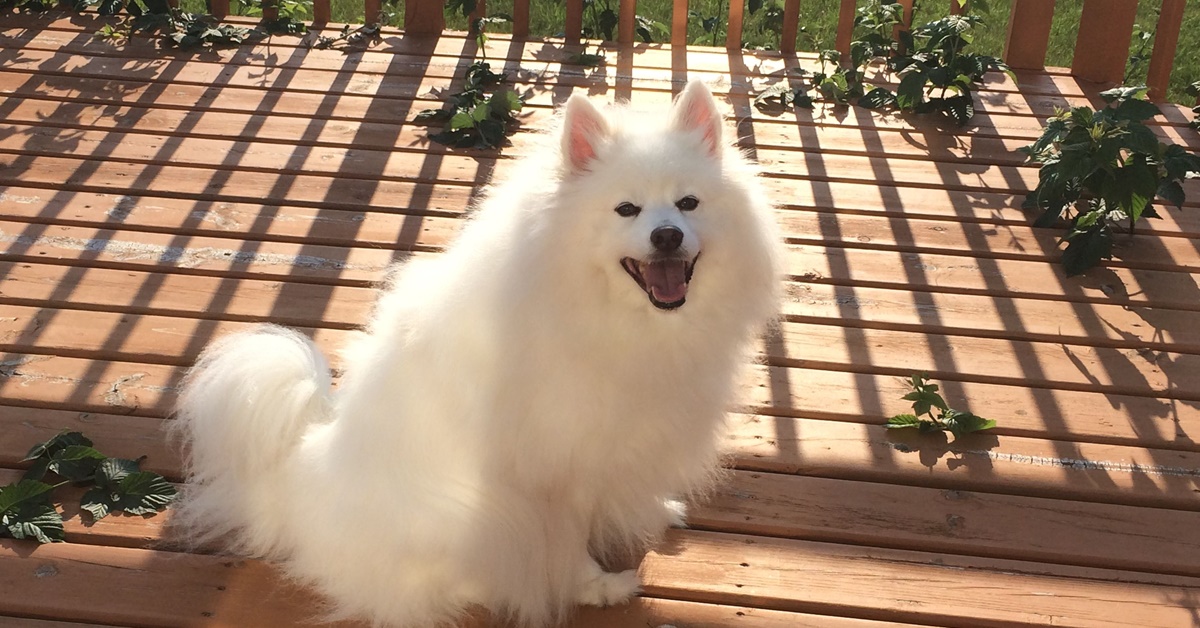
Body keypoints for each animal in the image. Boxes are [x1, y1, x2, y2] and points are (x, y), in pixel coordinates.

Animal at [174, 81, 782, 624]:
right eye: (626, 210)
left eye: (688, 203)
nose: (667, 236)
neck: (622, 321)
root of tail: (299, 487)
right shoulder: (552, 470)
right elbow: (566, 541)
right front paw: (595, 586)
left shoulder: (627, 437)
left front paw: (651, 510)